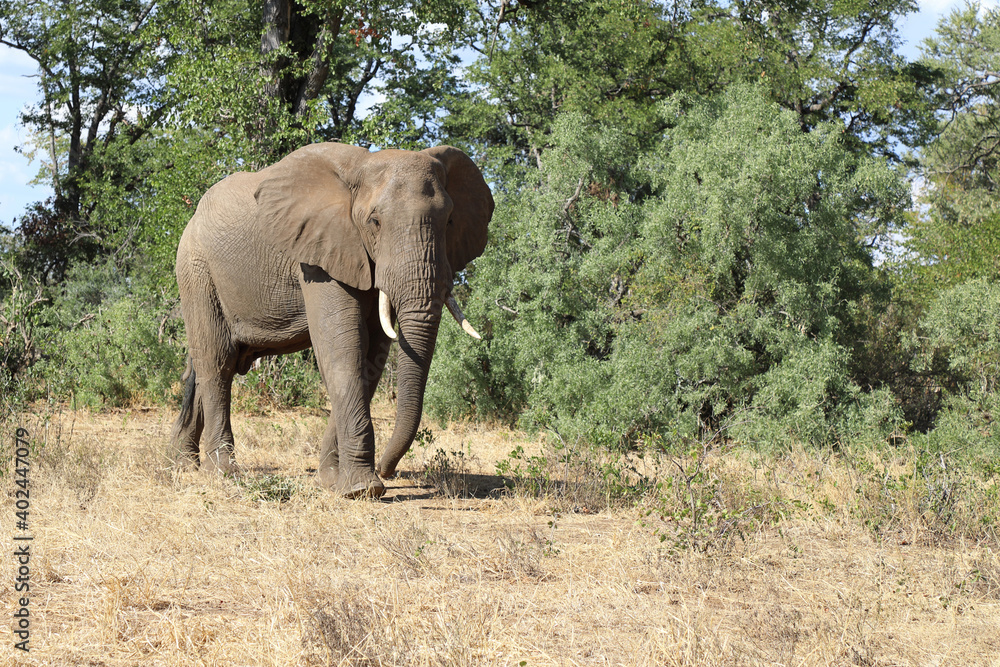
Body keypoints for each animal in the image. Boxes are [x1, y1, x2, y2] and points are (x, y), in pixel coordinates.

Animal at [170, 145, 494, 500]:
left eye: (449, 221)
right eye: (375, 222)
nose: (387, 469)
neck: (364, 166)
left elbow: (370, 358)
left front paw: (332, 481)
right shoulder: (318, 254)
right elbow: (342, 349)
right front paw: (363, 489)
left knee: (206, 365)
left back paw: (183, 464)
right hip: (196, 269)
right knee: (218, 361)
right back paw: (222, 473)